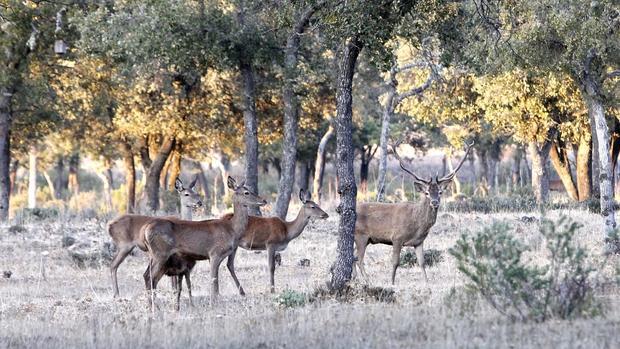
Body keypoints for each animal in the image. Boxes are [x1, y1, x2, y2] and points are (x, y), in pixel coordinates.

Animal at [144, 175, 268, 306]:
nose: (264, 200)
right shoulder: (214, 254)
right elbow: (213, 282)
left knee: (149, 276)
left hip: (155, 256)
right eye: (246, 192)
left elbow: (216, 283)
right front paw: (213, 304)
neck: (231, 229)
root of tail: (146, 230)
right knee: (150, 277)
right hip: (160, 254)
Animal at [356, 141, 472, 282]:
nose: (435, 202)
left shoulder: (419, 242)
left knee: (354, 258)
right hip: (361, 235)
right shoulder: (396, 237)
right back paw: (368, 281)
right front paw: (392, 283)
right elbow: (395, 262)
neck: (417, 225)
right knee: (359, 260)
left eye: (440, 192)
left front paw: (427, 284)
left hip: (366, 239)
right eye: (427, 192)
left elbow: (422, 263)